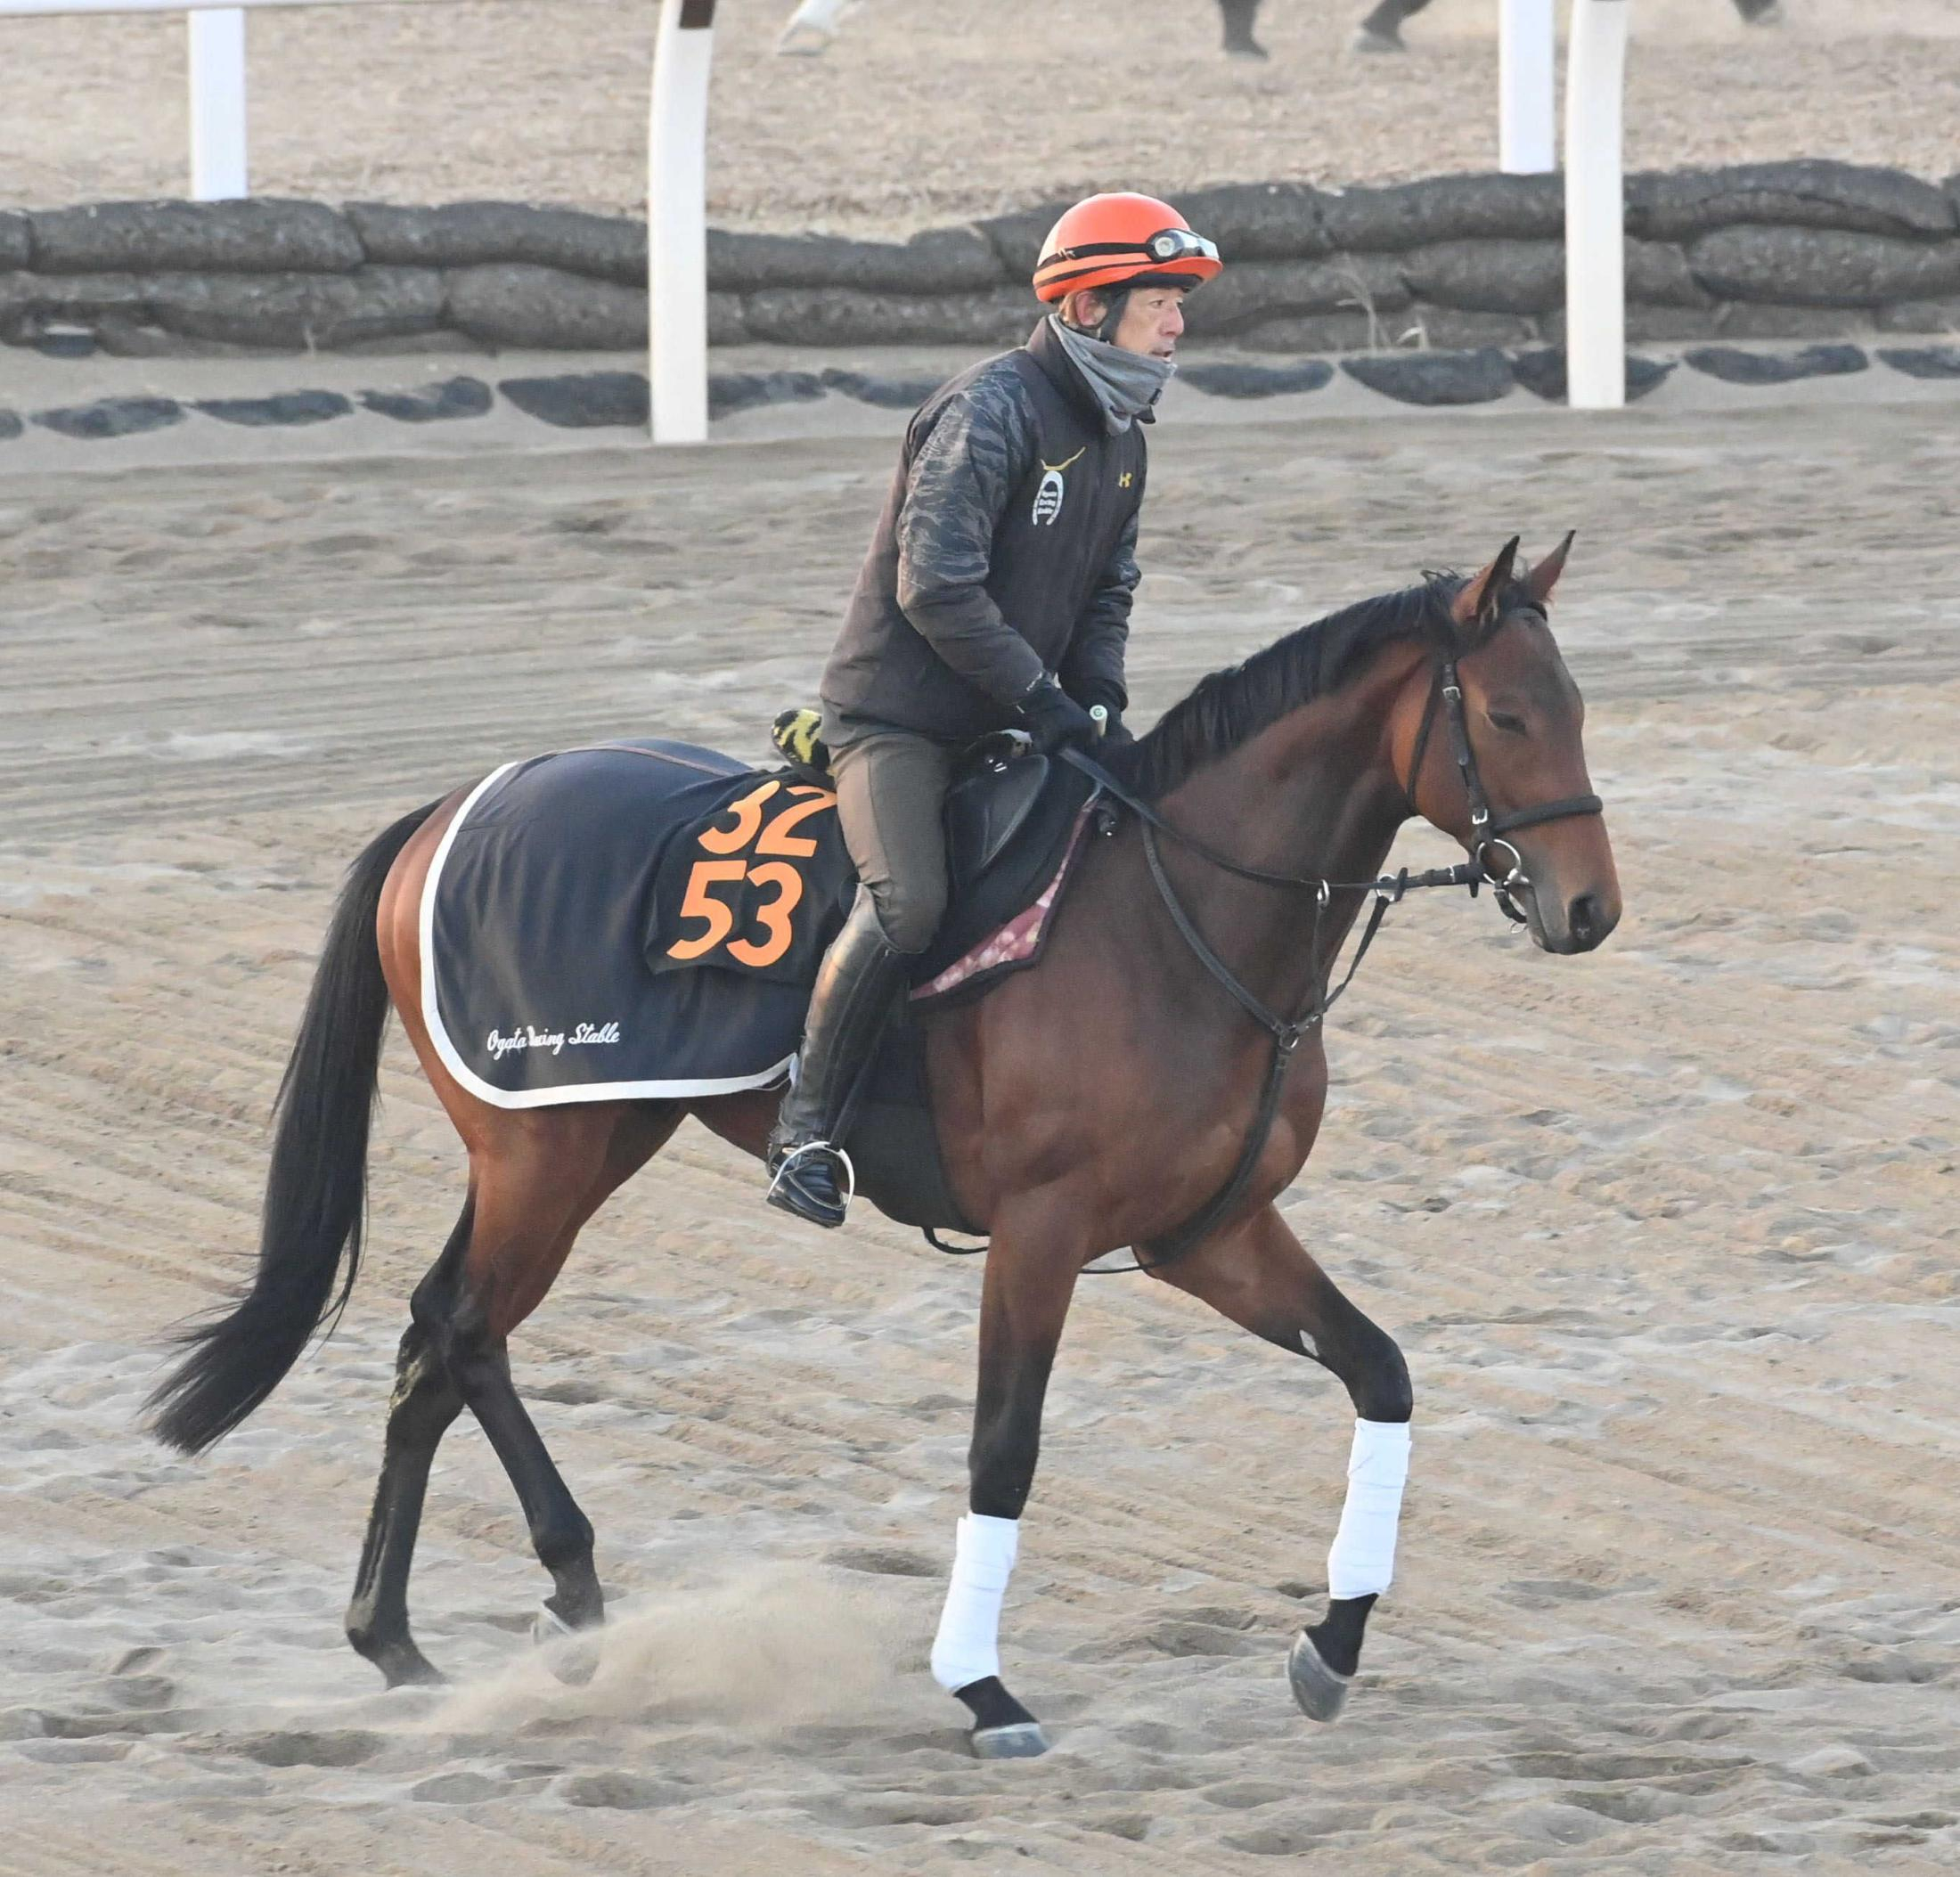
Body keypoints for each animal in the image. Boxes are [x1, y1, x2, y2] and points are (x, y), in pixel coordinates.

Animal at [148, 536, 1621, 1758]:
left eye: (1578, 708)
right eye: (1506, 715)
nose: (1591, 908)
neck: (1176, 913)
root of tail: (451, 803)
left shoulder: (1209, 1233)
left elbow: (1381, 1372)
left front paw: (1332, 1644)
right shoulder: (1040, 1231)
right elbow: (1003, 1450)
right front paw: (982, 1684)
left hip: (587, 1136)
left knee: (432, 1338)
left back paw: (397, 1638)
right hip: (545, 1153)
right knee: (460, 1329)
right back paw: (565, 1584)